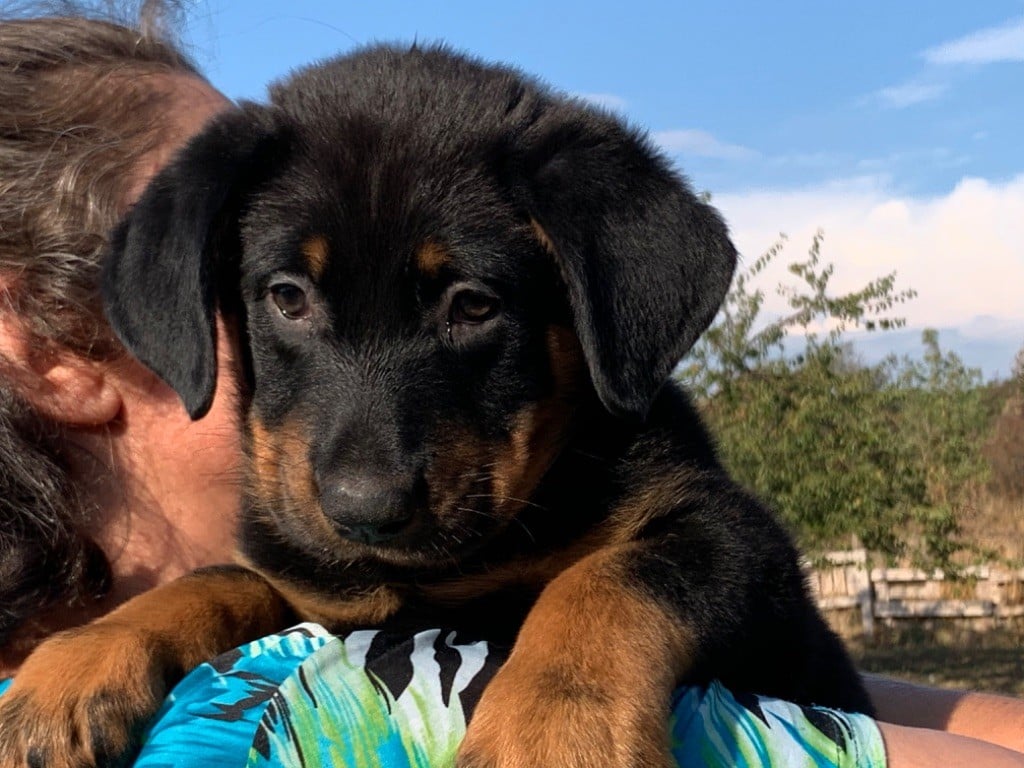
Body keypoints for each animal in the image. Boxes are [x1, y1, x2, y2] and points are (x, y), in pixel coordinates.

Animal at [0, 44, 872, 768]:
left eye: (474, 306)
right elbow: (217, 578)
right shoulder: (317, 587)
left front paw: (554, 732)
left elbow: (606, 582)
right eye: (287, 298)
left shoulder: (737, 540)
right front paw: (75, 664)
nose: (365, 510)